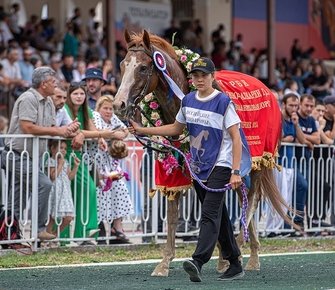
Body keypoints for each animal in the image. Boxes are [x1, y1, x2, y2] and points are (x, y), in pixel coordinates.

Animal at [113, 29, 300, 276]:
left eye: (143, 68)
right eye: (123, 65)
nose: (118, 105)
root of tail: (268, 89)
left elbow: (212, 209)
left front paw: (222, 257)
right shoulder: (173, 169)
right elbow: (173, 215)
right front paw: (164, 263)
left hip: (257, 161)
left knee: (252, 199)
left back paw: (244, 252)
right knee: (242, 197)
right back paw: (249, 256)